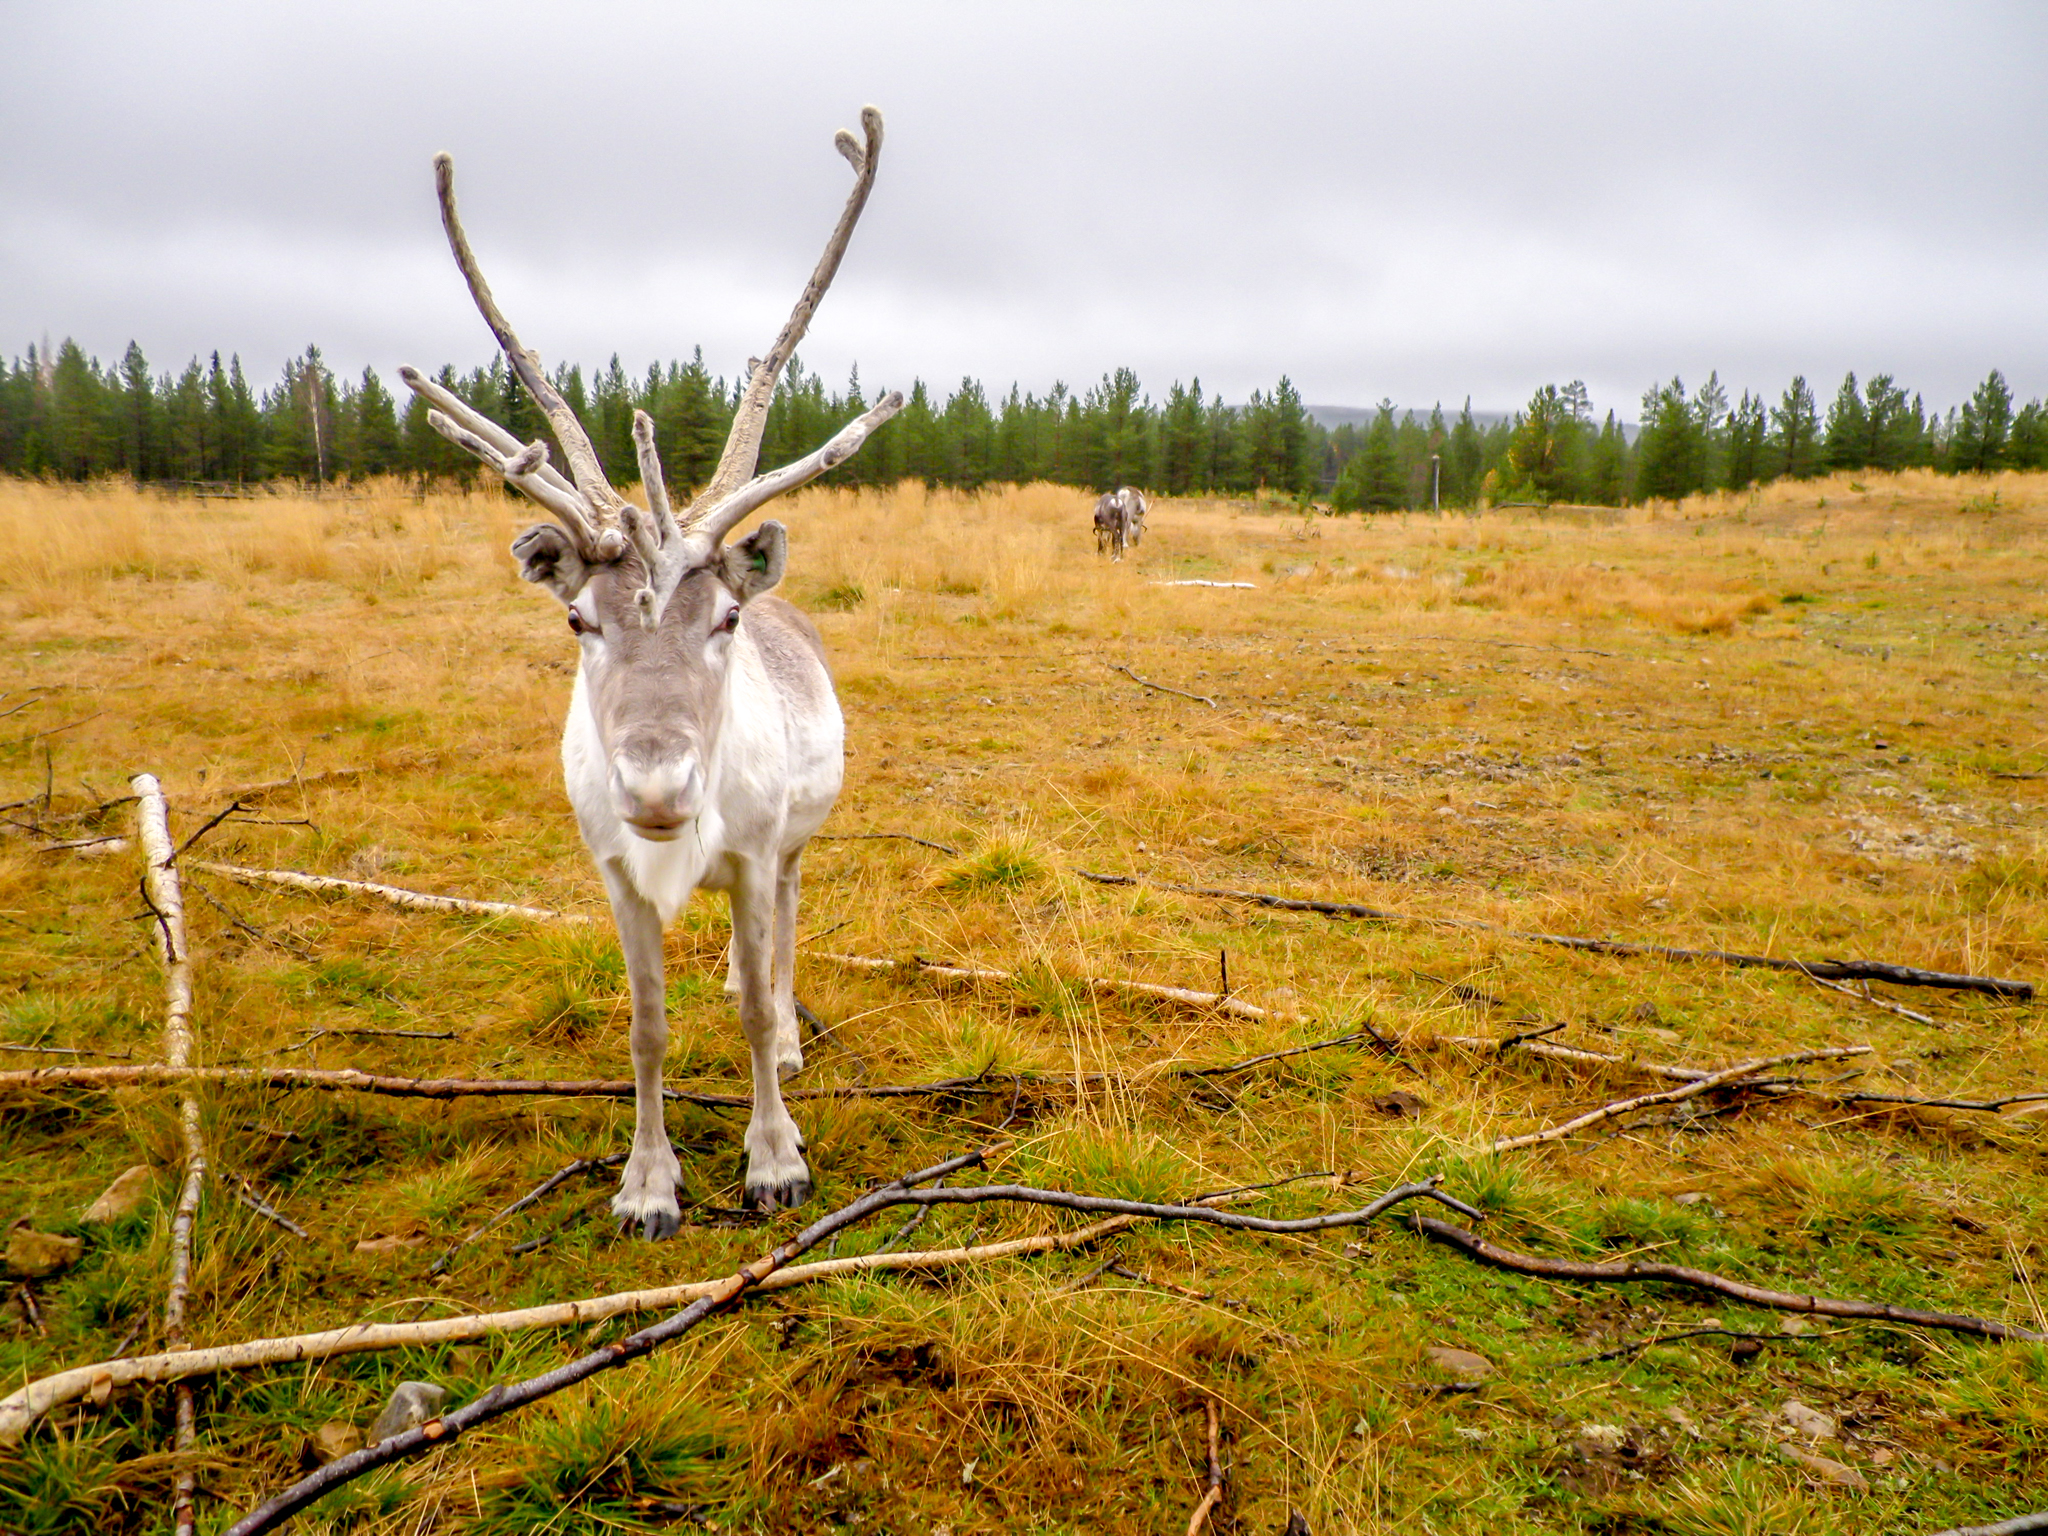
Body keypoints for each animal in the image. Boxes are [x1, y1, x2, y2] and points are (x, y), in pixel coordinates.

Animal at [397, 107, 903, 1236]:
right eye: (577, 617)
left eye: (724, 617)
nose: (658, 786)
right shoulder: (615, 869)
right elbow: (645, 1024)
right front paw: (645, 1184)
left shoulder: (755, 853)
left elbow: (756, 1005)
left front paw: (774, 1162)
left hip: (797, 838)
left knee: (785, 935)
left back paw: (789, 1039)